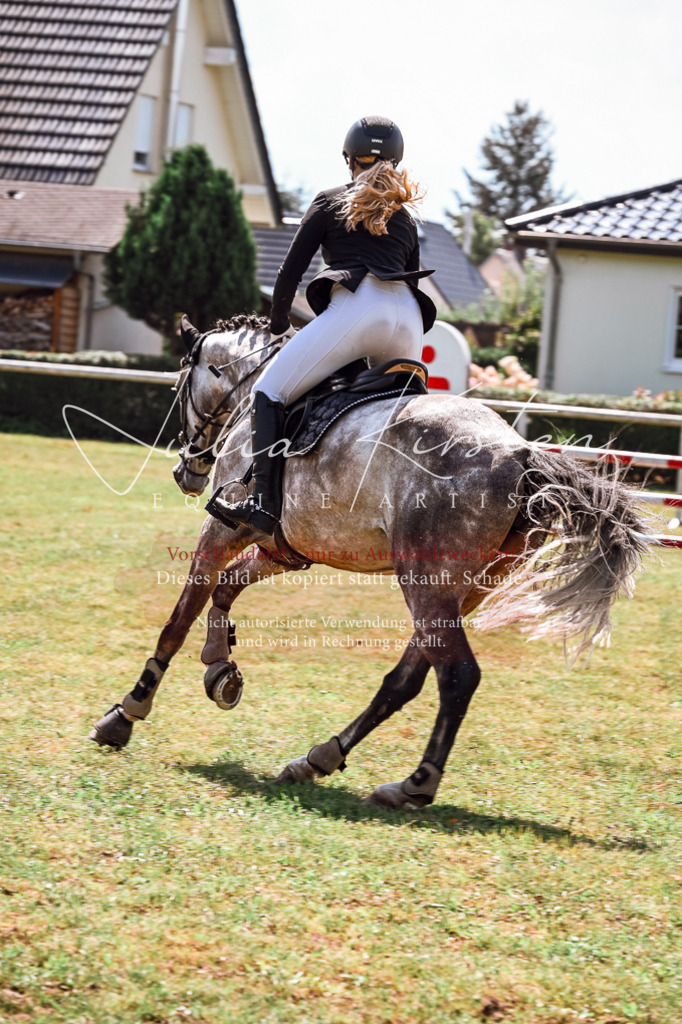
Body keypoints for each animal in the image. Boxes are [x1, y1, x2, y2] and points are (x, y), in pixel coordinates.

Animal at [91, 313, 651, 809]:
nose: (186, 471)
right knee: (407, 679)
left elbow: (179, 618)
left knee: (457, 677)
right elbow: (227, 588)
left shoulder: (225, 527)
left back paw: (415, 785)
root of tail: (521, 455)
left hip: (425, 581)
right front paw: (219, 664)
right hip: (464, 589)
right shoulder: (286, 547)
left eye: (179, 384)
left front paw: (128, 711)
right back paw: (319, 757)